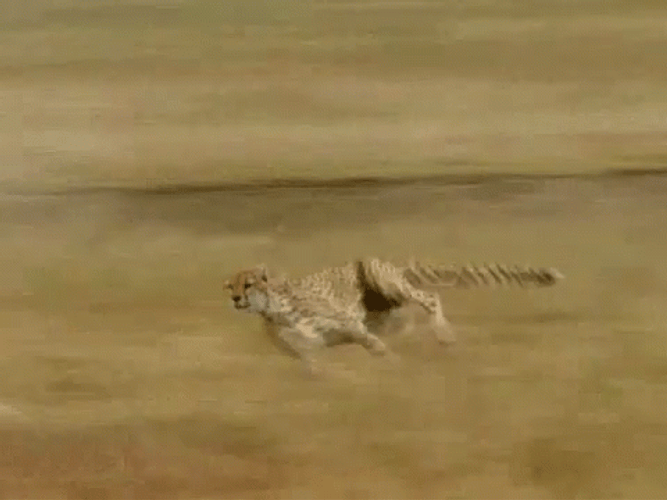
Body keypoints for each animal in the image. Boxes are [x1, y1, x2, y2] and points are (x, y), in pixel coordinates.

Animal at [224, 258, 563, 376]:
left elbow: (377, 349)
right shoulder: (306, 350)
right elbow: (315, 366)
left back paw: (444, 335)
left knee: (430, 299)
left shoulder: (351, 326)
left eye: (248, 283)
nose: (235, 298)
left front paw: (395, 367)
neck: (274, 309)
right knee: (407, 322)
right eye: (231, 285)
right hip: (385, 316)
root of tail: (393, 265)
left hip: (381, 277)